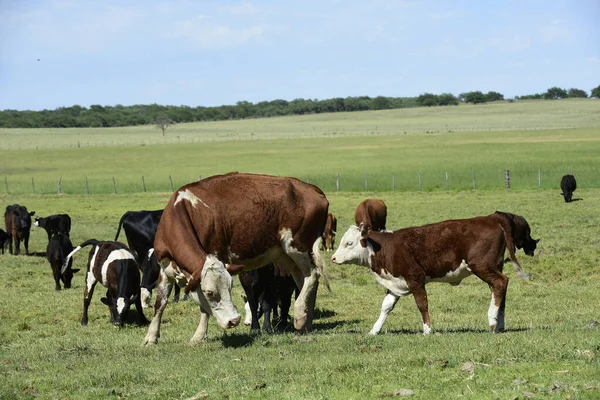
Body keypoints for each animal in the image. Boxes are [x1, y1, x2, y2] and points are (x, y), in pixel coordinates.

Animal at [143, 173, 330, 346]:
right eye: (210, 292)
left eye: (230, 287)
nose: (234, 321)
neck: (184, 211)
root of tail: (312, 189)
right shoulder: (165, 267)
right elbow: (160, 302)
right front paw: (151, 337)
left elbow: (204, 309)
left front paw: (199, 336)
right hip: (289, 257)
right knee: (304, 281)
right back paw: (307, 323)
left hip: (298, 247)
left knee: (312, 276)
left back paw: (300, 315)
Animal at [330, 217, 532, 336]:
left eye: (349, 243)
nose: (333, 258)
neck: (387, 248)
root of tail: (492, 218)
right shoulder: (396, 284)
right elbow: (385, 307)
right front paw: (374, 330)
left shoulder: (415, 280)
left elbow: (422, 305)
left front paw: (427, 330)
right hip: (492, 267)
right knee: (500, 289)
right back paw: (499, 324)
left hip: (482, 267)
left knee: (501, 282)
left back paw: (492, 320)